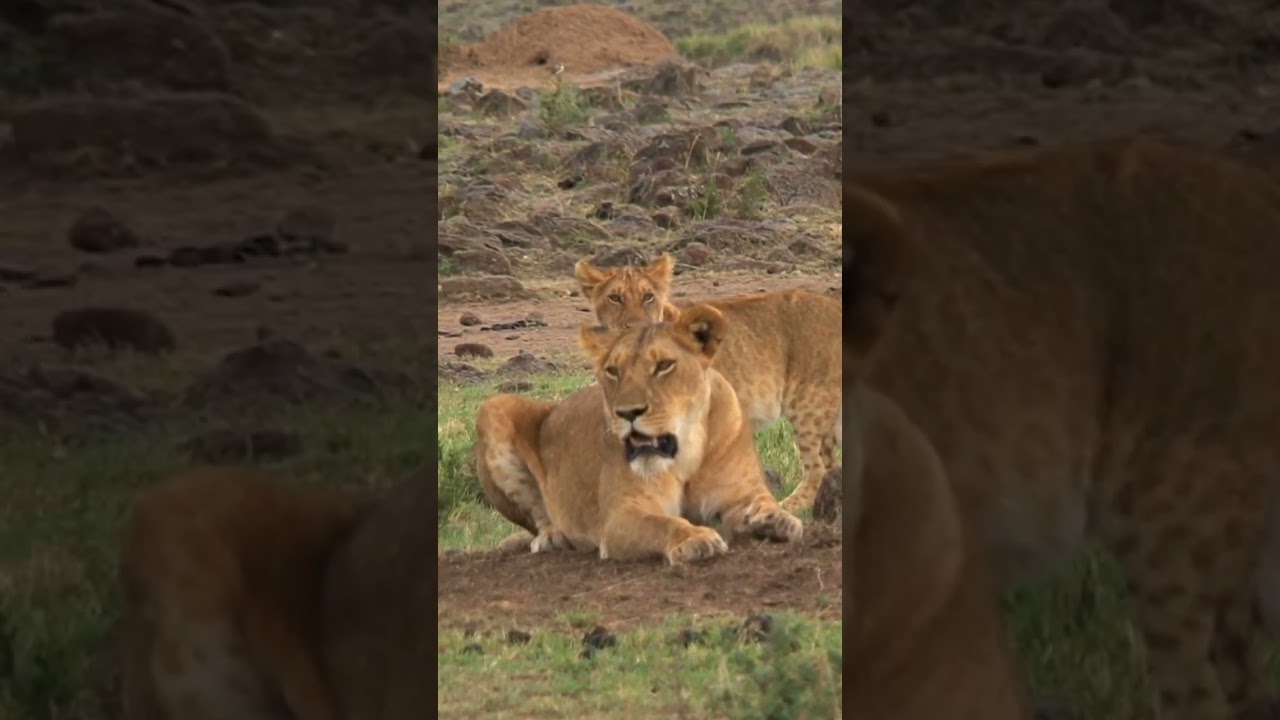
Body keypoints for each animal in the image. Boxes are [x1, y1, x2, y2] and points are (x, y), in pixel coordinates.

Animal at [473, 302, 803, 564]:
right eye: (613, 371)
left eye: (664, 366)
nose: (628, 413)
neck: (686, 449)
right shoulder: (621, 516)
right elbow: (665, 524)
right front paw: (695, 539)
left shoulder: (742, 491)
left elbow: (764, 501)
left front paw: (776, 520)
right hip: (493, 406)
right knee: (537, 520)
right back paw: (554, 537)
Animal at [573, 255, 841, 515]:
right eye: (615, 298)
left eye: (647, 296)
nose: (636, 326)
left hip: (809, 406)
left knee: (818, 467)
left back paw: (789, 507)